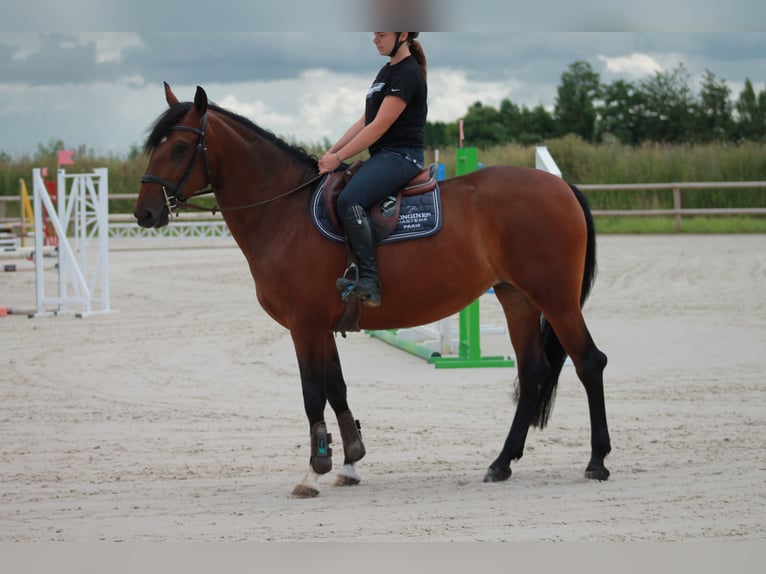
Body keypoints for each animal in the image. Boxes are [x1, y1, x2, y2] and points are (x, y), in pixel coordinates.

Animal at [134, 82, 612, 500]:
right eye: (155, 145)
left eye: (180, 148)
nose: (145, 212)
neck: (284, 211)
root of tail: (560, 186)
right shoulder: (321, 326)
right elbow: (337, 388)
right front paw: (348, 463)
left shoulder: (304, 325)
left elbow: (313, 394)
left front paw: (313, 471)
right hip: (516, 298)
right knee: (532, 372)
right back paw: (501, 463)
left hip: (556, 300)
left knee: (589, 362)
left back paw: (597, 461)